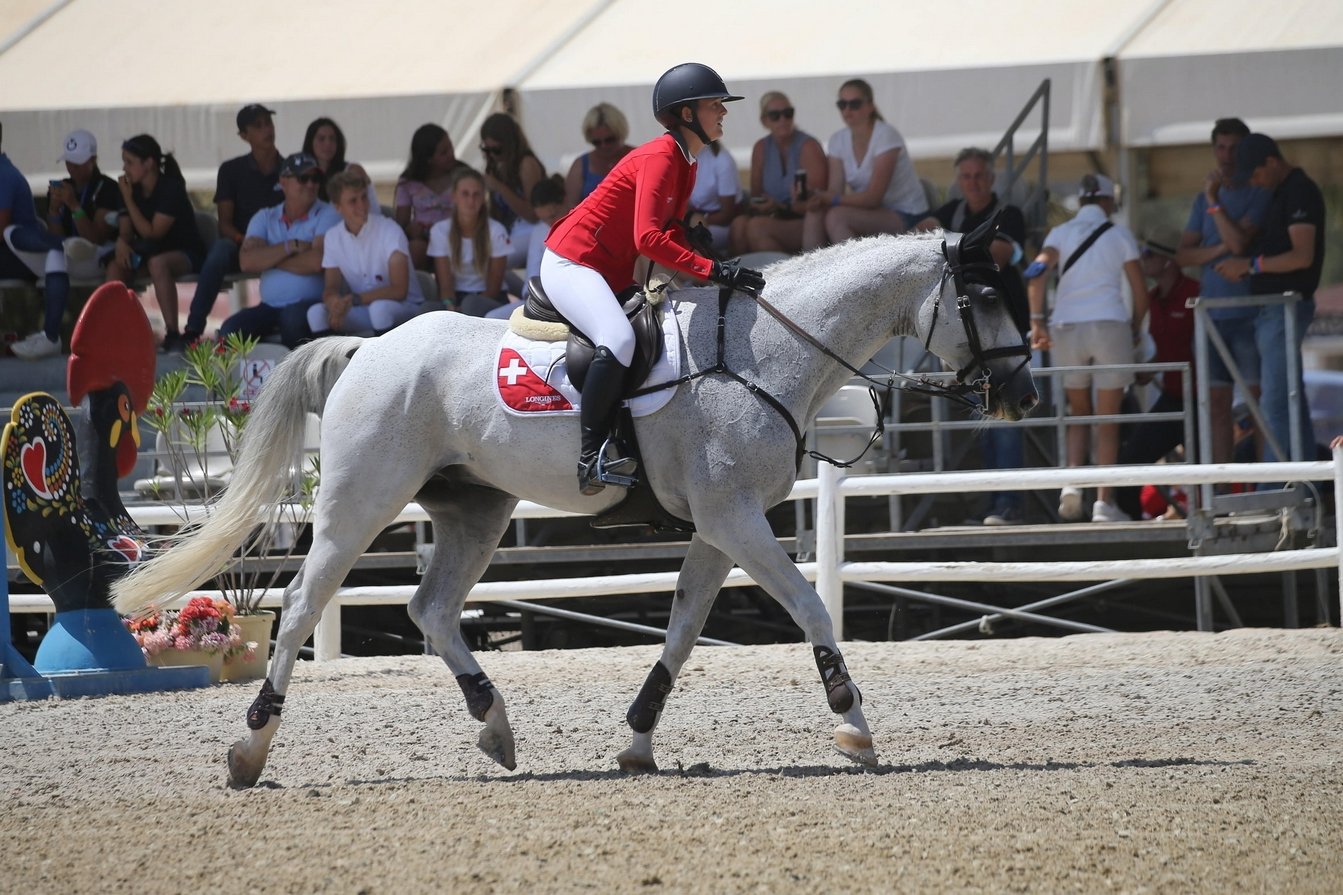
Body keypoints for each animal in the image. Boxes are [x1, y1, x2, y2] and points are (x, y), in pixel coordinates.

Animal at [112, 219, 1036, 784]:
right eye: (988, 297)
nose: (1021, 394)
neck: (766, 349)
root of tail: (366, 348)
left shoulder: (718, 525)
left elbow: (682, 630)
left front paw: (636, 739)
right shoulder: (735, 518)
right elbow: (810, 606)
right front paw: (853, 724)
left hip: (475, 510)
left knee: (431, 607)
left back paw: (494, 724)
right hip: (359, 504)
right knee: (305, 606)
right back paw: (249, 747)